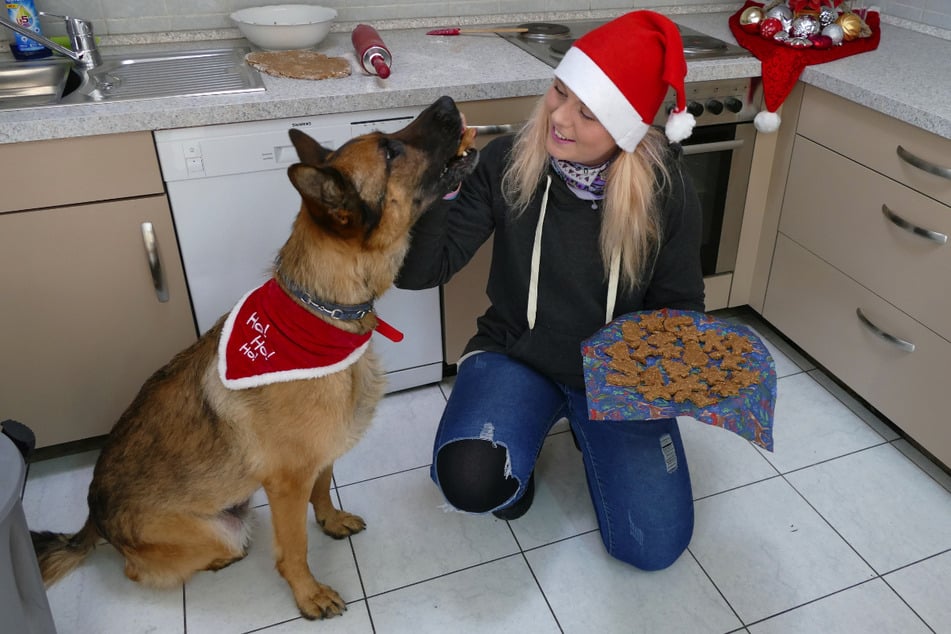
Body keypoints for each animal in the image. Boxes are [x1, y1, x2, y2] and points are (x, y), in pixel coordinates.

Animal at [30, 95, 480, 616]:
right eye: (390, 150)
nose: (448, 103)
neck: (321, 309)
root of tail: (93, 516)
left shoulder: (318, 459)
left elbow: (323, 488)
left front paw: (330, 520)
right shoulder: (286, 484)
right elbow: (295, 547)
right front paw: (308, 593)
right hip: (215, 533)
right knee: (142, 569)